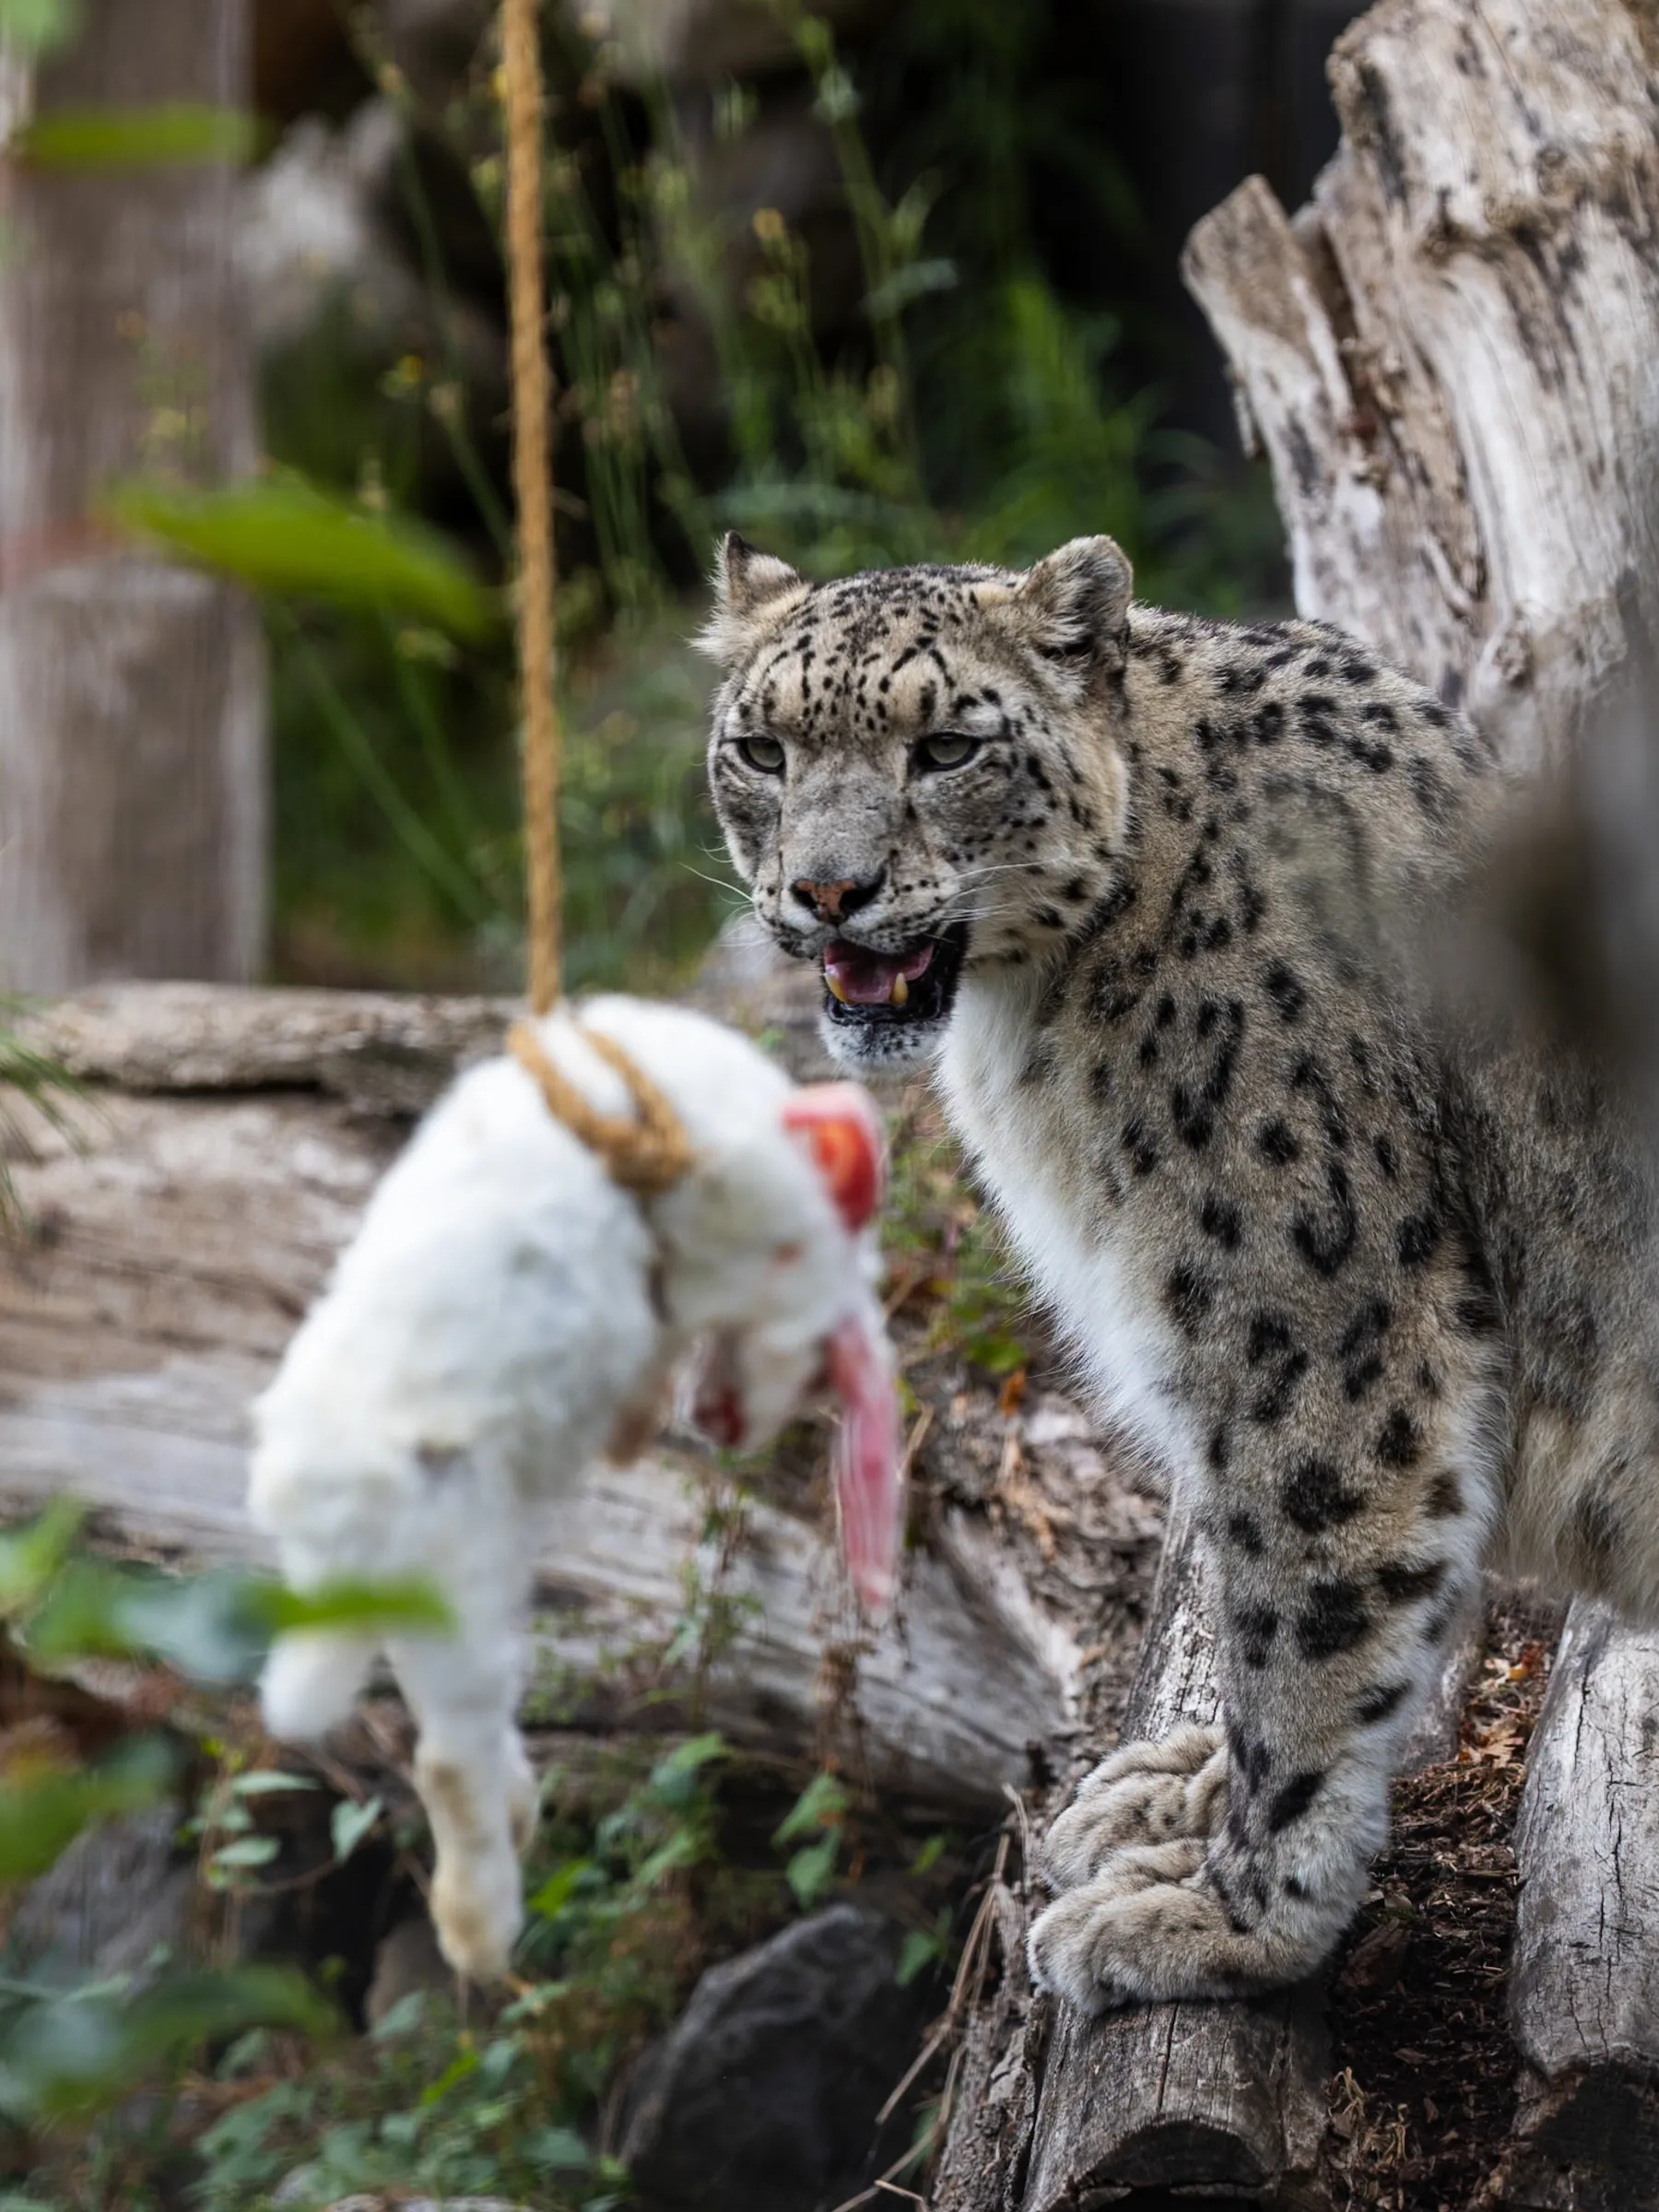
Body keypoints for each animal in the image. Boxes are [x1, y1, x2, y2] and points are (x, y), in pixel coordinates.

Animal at [700, 529, 1659, 2013]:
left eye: (945, 748)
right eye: (760, 748)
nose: (827, 892)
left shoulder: (1320, 1345)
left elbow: (1302, 1619)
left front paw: (1226, 1919)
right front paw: (1182, 1790)